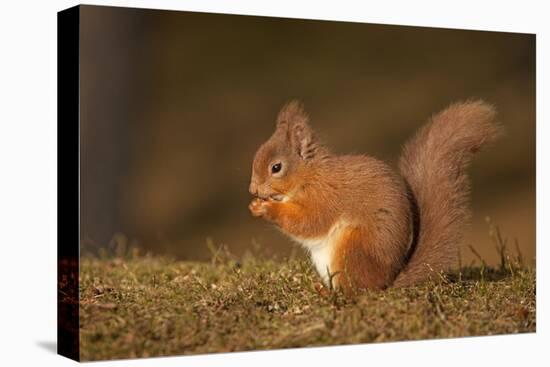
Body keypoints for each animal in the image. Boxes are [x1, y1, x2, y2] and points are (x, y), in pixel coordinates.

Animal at [249, 100, 500, 294]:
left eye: (276, 167)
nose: (253, 190)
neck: (309, 175)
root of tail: (386, 282)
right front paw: (255, 205)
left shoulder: (325, 196)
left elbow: (309, 222)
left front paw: (266, 209)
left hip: (352, 248)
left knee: (355, 292)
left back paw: (330, 294)